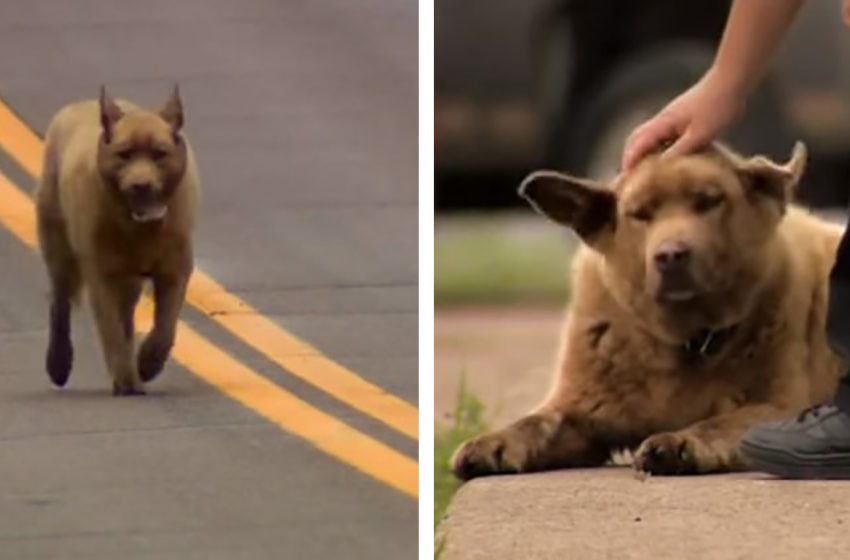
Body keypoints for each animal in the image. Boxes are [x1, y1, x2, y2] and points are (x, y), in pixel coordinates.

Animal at [35, 86, 200, 394]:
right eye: (124, 154)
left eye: (160, 154)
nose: (141, 185)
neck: (139, 227)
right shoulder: (102, 274)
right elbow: (110, 327)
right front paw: (126, 378)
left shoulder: (175, 270)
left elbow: (165, 326)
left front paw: (148, 362)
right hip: (58, 245)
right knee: (61, 303)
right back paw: (59, 363)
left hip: (129, 279)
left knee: (126, 314)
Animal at [450, 142, 840, 480]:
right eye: (640, 215)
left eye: (709, 201)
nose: (671, 255)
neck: (686, 339)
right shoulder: (578, 410)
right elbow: (533, 423)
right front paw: (492, 441)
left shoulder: (780, 406)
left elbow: (720, 422)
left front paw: (682, 441)